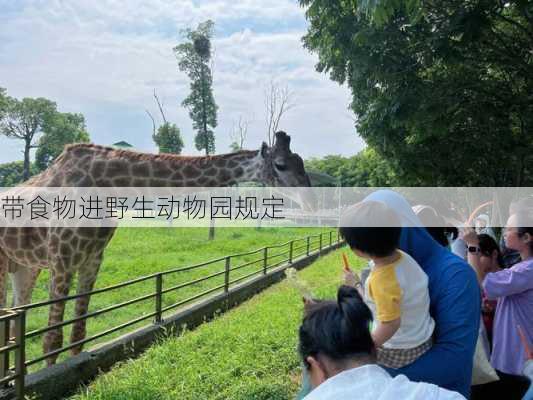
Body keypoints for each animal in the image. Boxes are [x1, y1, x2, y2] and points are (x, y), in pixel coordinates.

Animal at [0, 132, 312, 366]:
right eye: (281, 164)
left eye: (300, 162)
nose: (309, 198)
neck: (106, 185)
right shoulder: (62, 260)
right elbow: (51, 341)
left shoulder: (92, 259)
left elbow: (78, 335)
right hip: (7, 264)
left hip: (25, 267)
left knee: (15, 324)